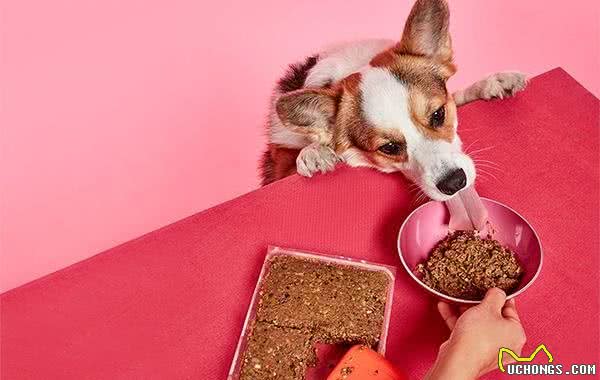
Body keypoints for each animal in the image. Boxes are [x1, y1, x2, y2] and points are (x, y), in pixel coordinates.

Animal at [260, 0, 528, 202]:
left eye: (438, 115)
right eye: (389, 148)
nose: (455, 183)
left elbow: (458, 95)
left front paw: (490, 83)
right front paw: (313, 153)